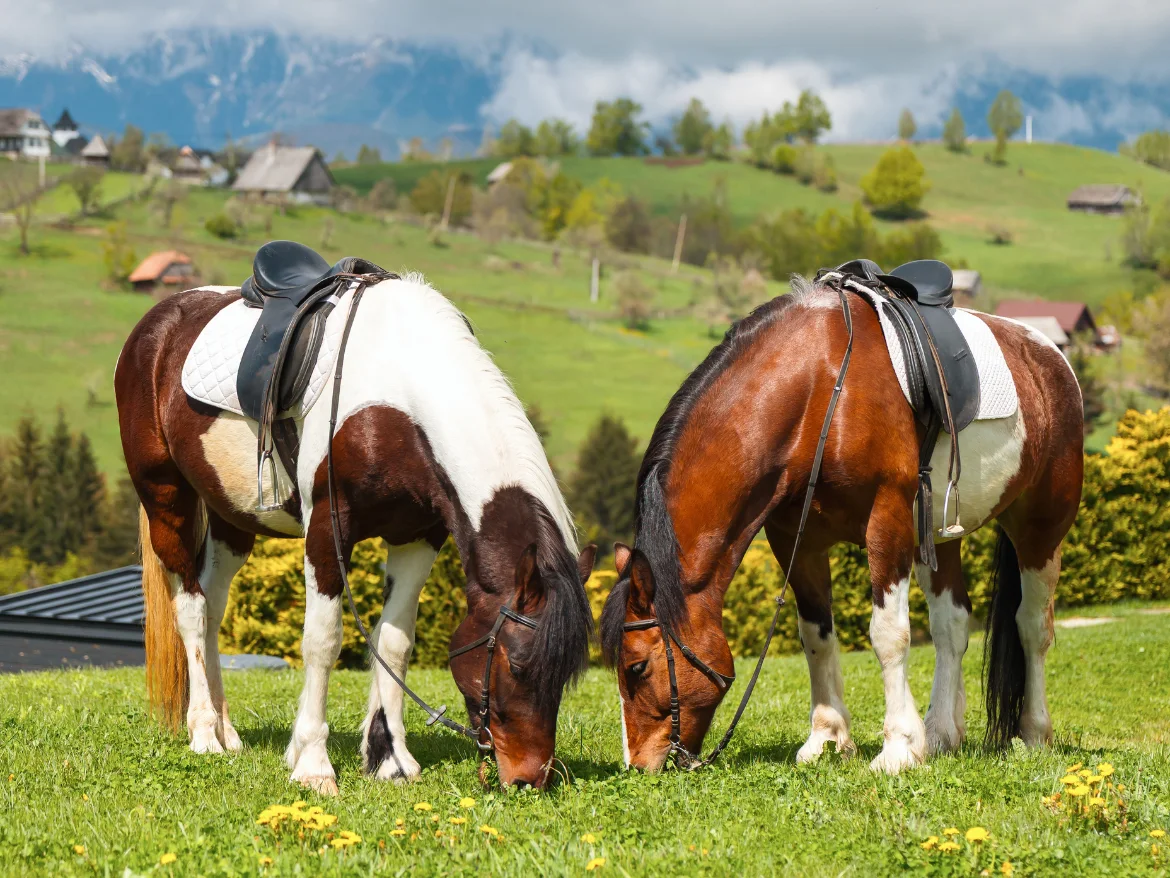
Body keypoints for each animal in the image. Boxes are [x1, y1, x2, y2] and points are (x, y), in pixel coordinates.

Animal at [115, 272, 596, 791]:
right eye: (517, 663)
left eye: (566, 673)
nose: (531, 777)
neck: (398, 396)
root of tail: (157, 322)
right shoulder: (327, 530)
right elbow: (323, 641)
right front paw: (313, 764)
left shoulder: (417, 537)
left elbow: (393, 643)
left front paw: (390, 759)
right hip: (166, 500)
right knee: (190, 608)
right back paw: (204, 733)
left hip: (233, 519)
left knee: (212, 608)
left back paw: (227, 731)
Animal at [600, 274, 1083, 774]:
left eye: (636, 667)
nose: (637, 764)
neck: (818, 391)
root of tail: (1050, 357)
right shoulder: (798, 541)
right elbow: (816, 635)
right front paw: (828, 737)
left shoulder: (887, 521)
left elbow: (888, 635)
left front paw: (899, 747)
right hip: (937, 537)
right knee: (951, 627)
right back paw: (941, 734)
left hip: (1041, 528)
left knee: (1033, 626)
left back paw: (1034, 732)